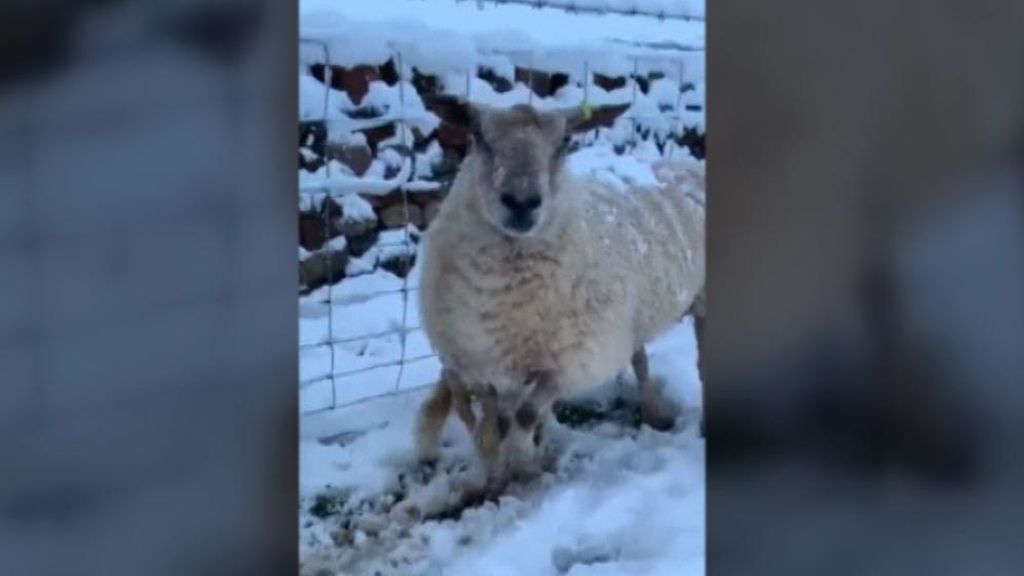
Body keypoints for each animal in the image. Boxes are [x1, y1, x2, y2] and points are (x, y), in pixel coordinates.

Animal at [413, 96, 704, 481]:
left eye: (565, 141)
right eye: (478, 135)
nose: (522, 201)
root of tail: (684, 164)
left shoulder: (567, 363)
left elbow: (524, 416)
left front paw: (523, 459)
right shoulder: (480, 364)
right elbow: (495, 422)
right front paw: (499, 466)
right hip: (631, 317)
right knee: (639, 357)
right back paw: (653, 410)